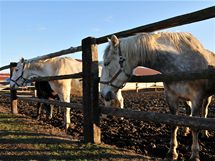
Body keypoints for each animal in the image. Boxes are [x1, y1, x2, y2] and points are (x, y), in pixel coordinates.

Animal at [100, 32, 215, 161]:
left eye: (106, 63)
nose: (103, 94)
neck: (178, 64)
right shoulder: (171, 97)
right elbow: (174, 123)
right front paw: (172, 152)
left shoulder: (197, 98)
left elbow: (195, 126)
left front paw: (194, 155)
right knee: (188, 113)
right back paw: (186, 131)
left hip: (206, 97)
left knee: (204, 113)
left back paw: (205, 133)